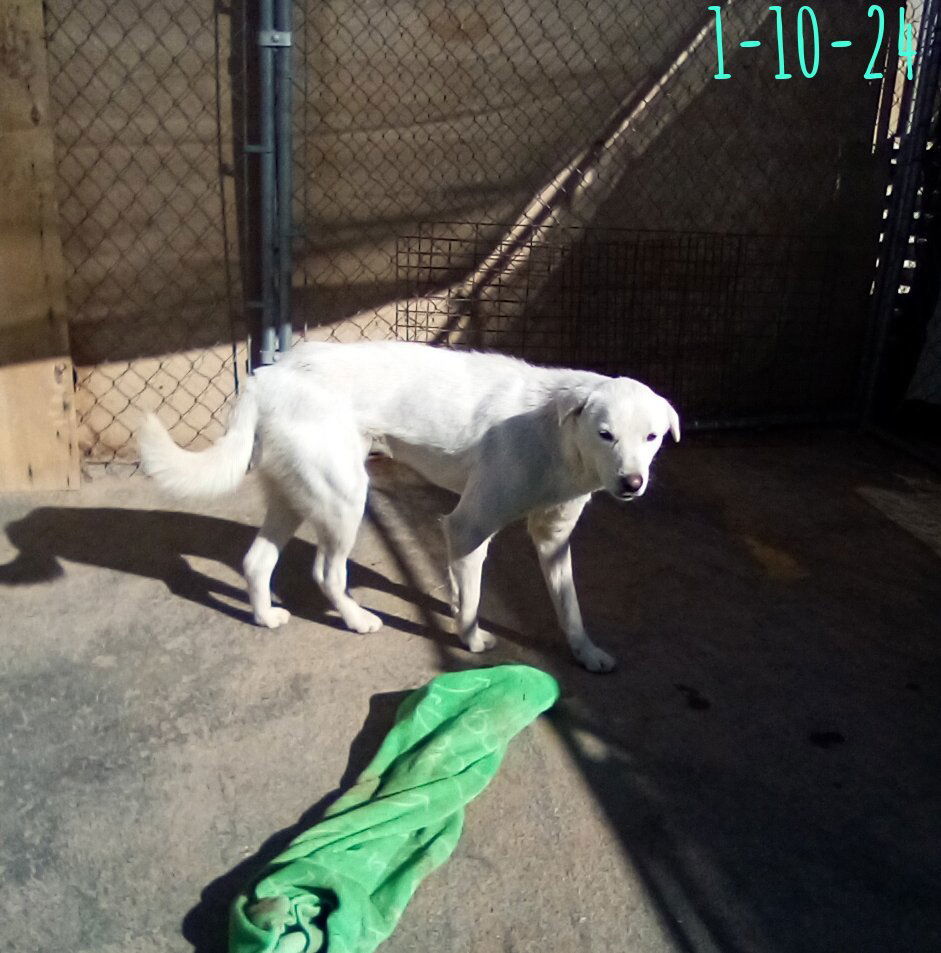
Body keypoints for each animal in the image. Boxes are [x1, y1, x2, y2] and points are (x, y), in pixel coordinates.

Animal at [138, 340, 676, 668]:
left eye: (651, 437)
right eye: (606, 434)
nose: (632, 483)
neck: (554, 432)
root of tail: (270, 375)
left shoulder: (553, 541)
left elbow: (569, 607)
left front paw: (586, 653)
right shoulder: (467, 526)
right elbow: (474, 601)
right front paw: (471, 640)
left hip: (296, 498)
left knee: (255, 562)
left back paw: (265, 616)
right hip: (345, 500)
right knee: (326, 573)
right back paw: (357, 620)